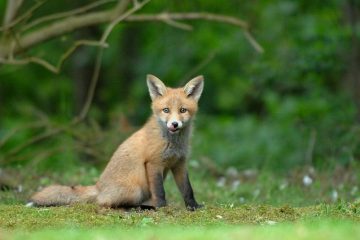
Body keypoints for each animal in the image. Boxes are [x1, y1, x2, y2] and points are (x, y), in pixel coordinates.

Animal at [29, 74, 204, 210]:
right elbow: (160, 191)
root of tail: (98, 186)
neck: (173, 143)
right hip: (137, 189)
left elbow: (188, 189)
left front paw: (193, 206)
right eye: (166, 110)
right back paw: (141, 208)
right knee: (106, 203)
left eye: (182, 110)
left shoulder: (179, 164)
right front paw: (162, 208)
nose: (174, 124)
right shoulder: (153, 163)